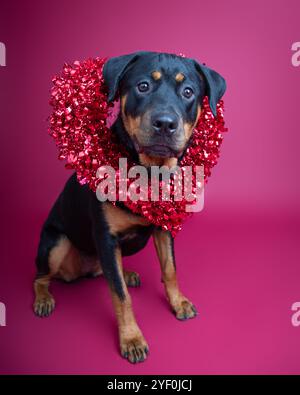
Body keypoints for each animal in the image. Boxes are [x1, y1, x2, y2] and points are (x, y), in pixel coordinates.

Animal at [33, 51, 225, 364]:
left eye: (188, 92)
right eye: (143, 86)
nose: (165, 123)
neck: (148, 172)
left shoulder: (163, 227)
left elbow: (170, 269)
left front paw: (178, 302)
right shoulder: (106, 237)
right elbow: (120, 297)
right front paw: (132, 339)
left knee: (107, 271)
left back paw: (127, 274)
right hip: (56, 244)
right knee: (42, 276)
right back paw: (43, 299)